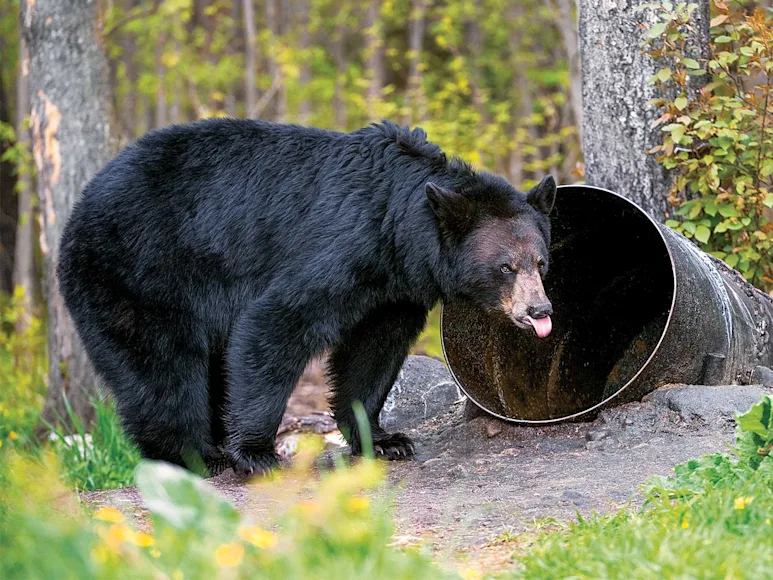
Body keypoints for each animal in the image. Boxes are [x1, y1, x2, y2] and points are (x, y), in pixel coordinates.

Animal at [57, 119, 555, 476]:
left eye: (541, 262)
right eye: (506, 267)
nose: (540, 310)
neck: (396, 227)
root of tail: (78, 210)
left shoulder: (393, 290)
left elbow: (373, 350)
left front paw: (384, 439)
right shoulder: (340, 247)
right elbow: (275, 324)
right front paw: (257, 452)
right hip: (142, 272)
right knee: (163, 369)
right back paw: (196, 455)